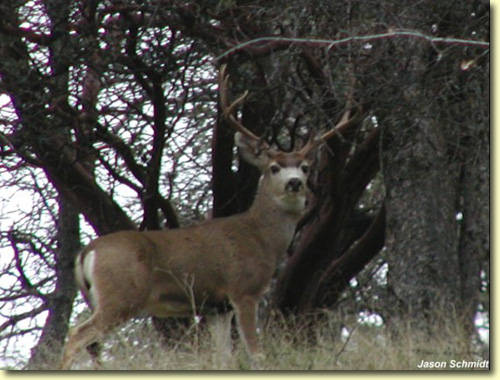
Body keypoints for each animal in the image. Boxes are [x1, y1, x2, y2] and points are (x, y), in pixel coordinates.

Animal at [57, 63, 356, 370]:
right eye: (274, 168)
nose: (294, 182)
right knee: (77, 336)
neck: (261, 237)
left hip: (100, 298)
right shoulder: (243, 290)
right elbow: (255, 353)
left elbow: (224, 357)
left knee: (89, 343)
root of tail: (87, 252)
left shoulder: (217, 307)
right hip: (121, 295)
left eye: (305, 167)